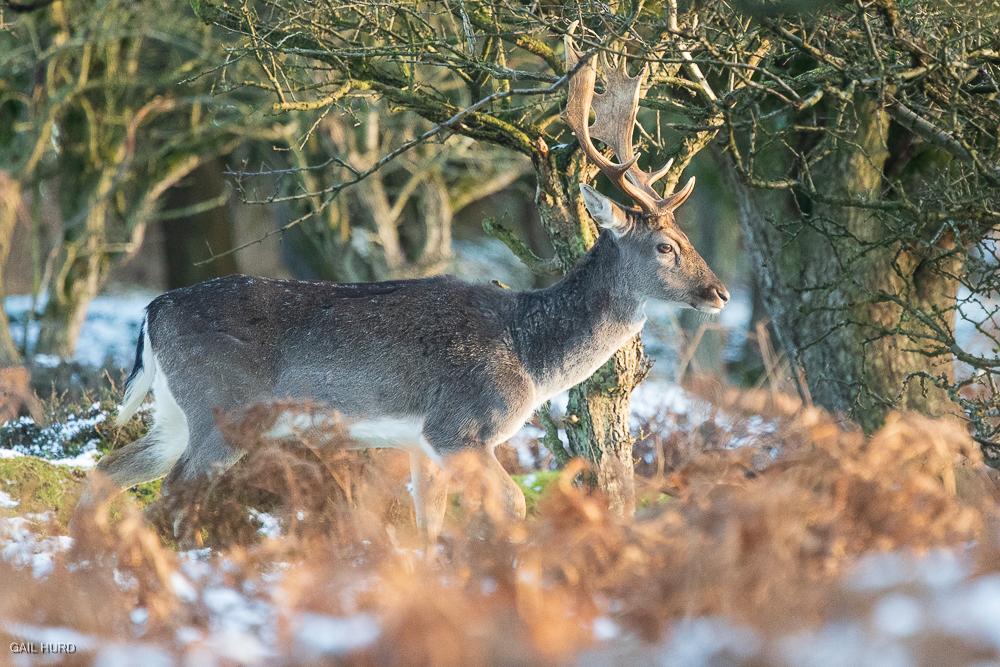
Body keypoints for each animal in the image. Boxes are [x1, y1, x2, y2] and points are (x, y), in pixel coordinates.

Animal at [82, 36, 729, 543]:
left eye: (685, 236)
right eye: (665, 246)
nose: (719, 292)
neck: (529, 355)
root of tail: (152, 309)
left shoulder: (421, 444)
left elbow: (428, 524)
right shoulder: (460, 425)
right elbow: (512, 504)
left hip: (173, 412)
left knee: (106, 473)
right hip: (222, 407)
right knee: (171, 491)